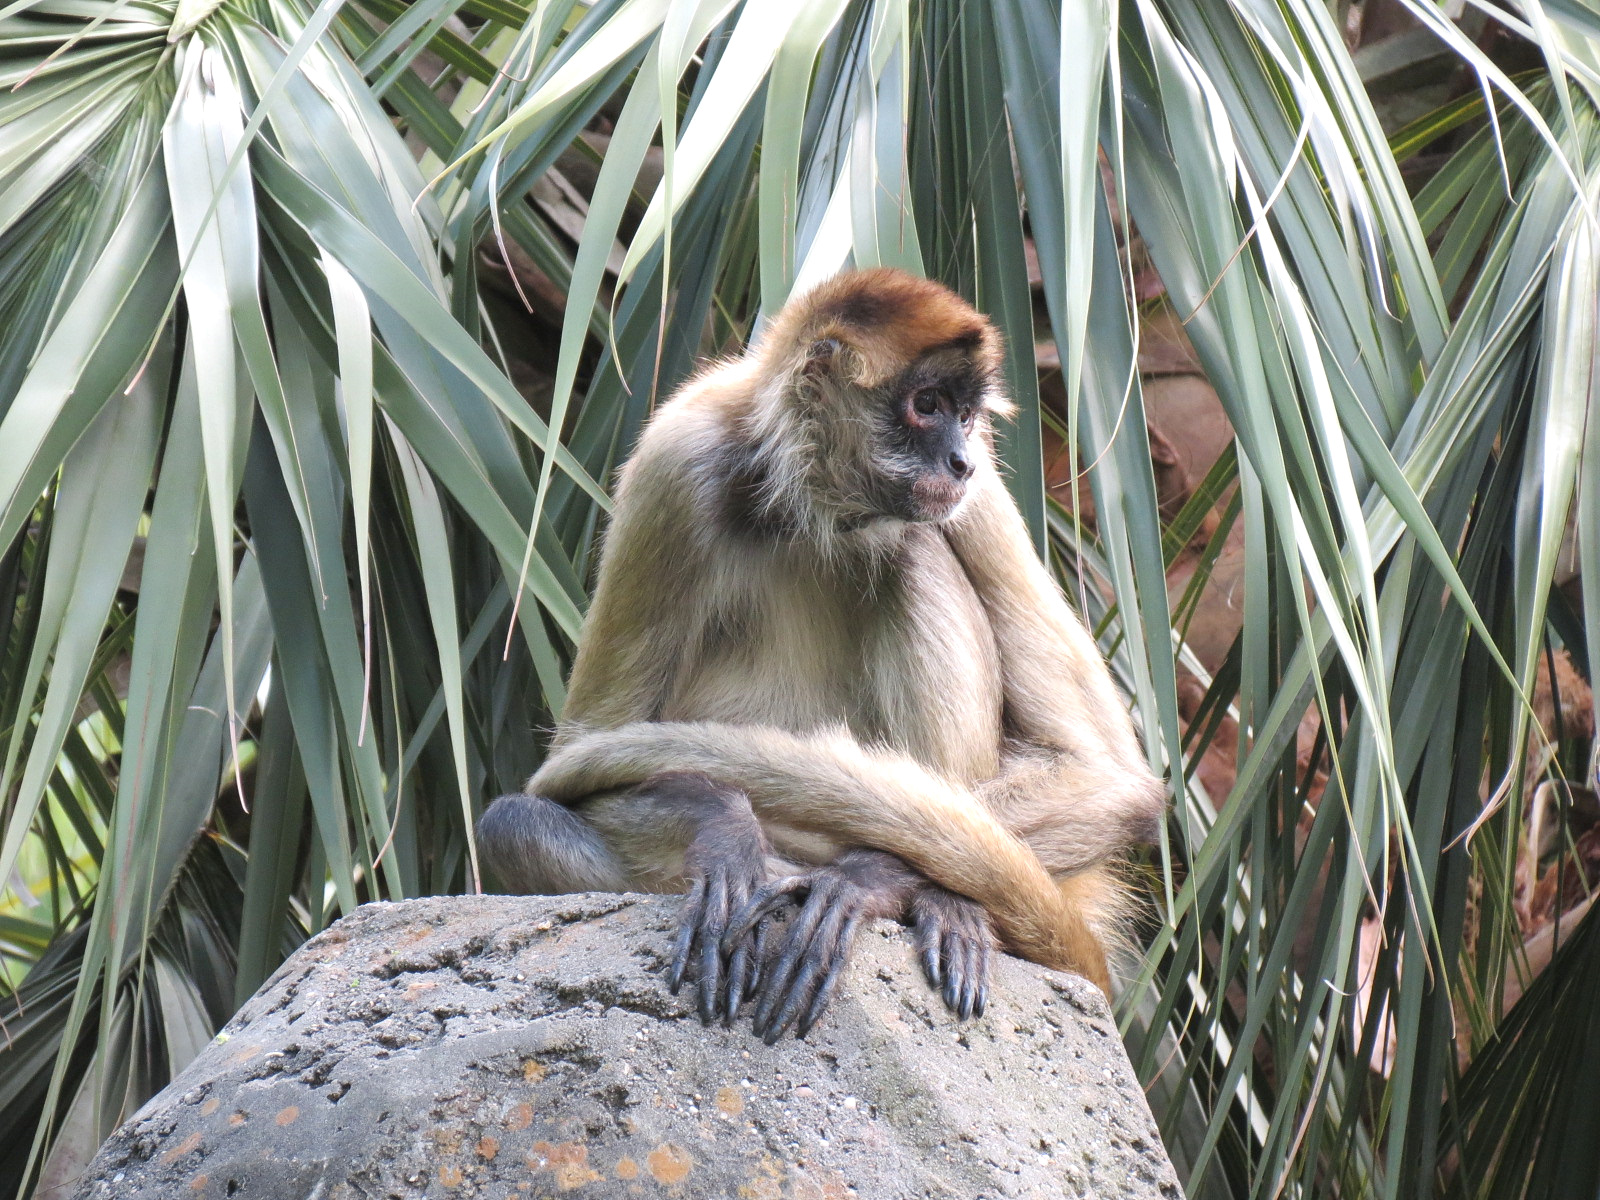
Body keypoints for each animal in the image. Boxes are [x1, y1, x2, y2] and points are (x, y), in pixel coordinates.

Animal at [479, 267, 1166, 1042]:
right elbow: (586, 748)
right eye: (927, 406)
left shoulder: (976, 491)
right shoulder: (677, 459)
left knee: (916, 548)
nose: (959, 458)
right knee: (515, 826)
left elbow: (1109, 779)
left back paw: (944, 900)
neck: (814, 510)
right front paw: (724, 828)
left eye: (965, 414)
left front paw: (867, 878)